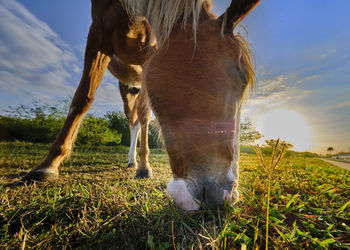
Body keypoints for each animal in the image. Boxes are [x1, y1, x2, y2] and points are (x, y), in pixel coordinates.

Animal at [17, 0, 262, 211]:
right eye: (241, 77)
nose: (223, 196)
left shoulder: (149, 51)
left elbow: (145, 115)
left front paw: (145, 167)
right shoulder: (99, 31)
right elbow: (82, 98)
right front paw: (47, 165)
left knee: (137, 122)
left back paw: (136, 163)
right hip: (125, 88)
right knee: (131, 121)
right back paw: (131, 161)